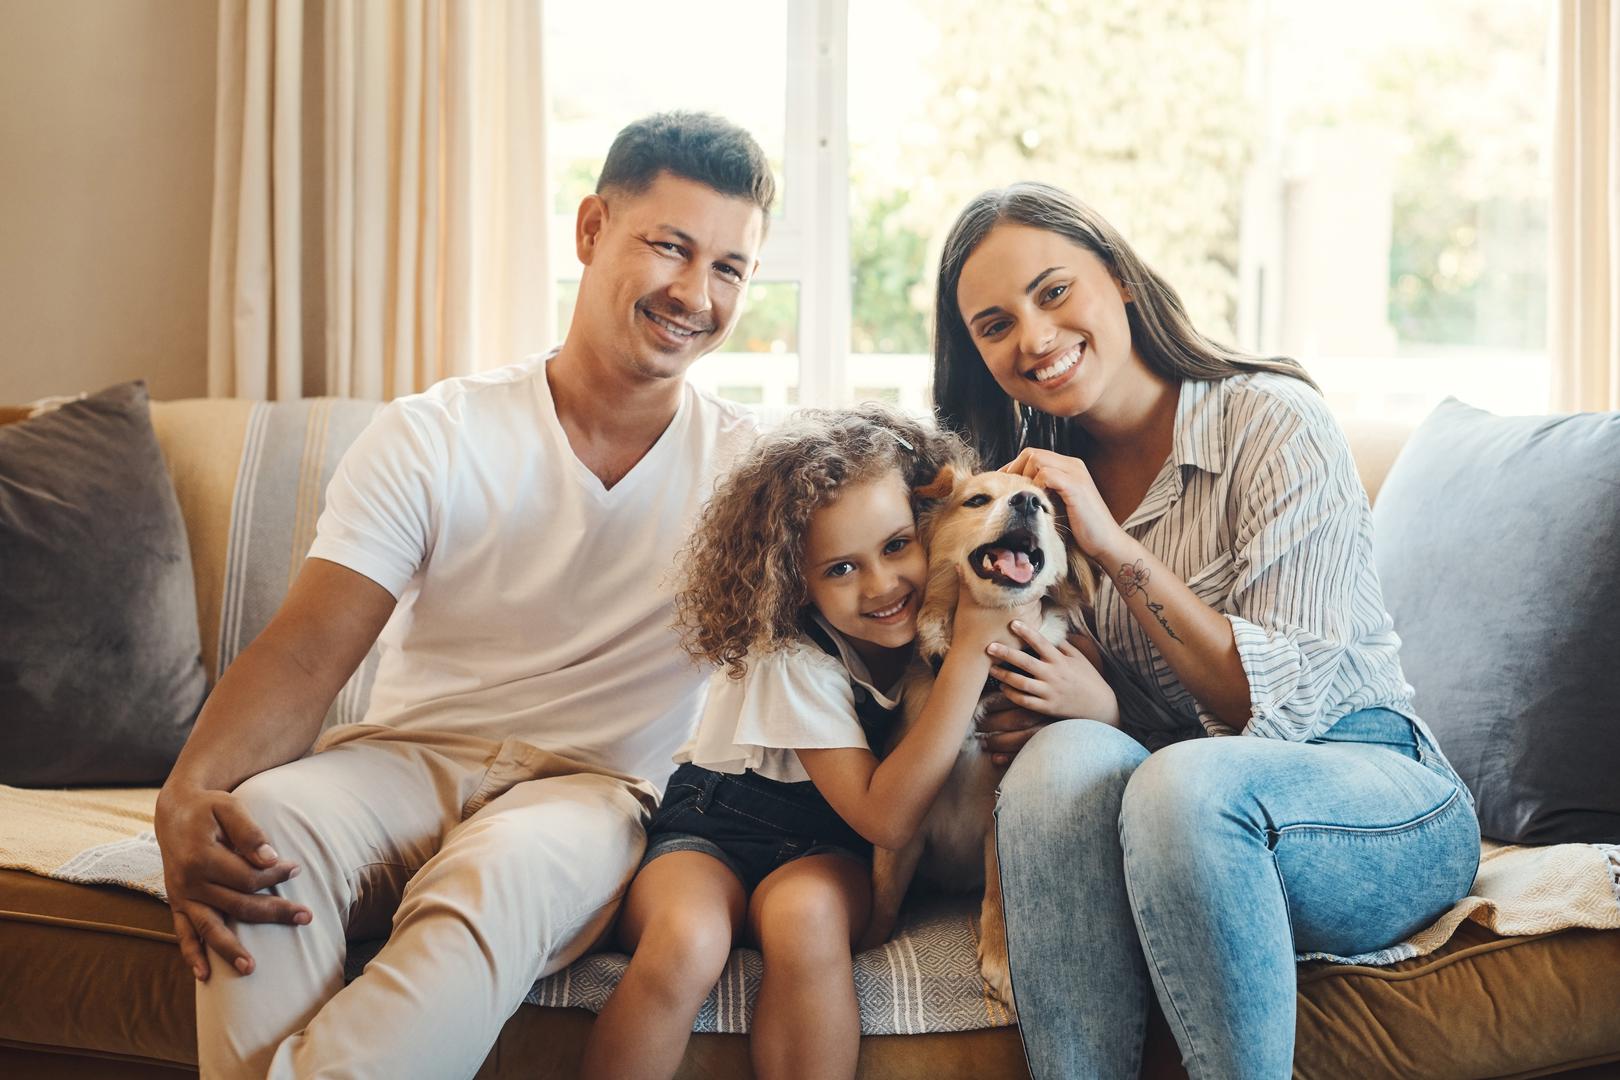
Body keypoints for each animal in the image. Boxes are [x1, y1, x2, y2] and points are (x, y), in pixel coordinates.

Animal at [868, 466, 1082, 1016]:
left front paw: (1003, 964)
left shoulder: (996, 820)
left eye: (1047, 507)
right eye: (977, 500)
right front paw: (866, 942)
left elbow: (1000, 898)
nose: (1028, 501)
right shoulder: (901, 838)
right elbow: (882, 901)